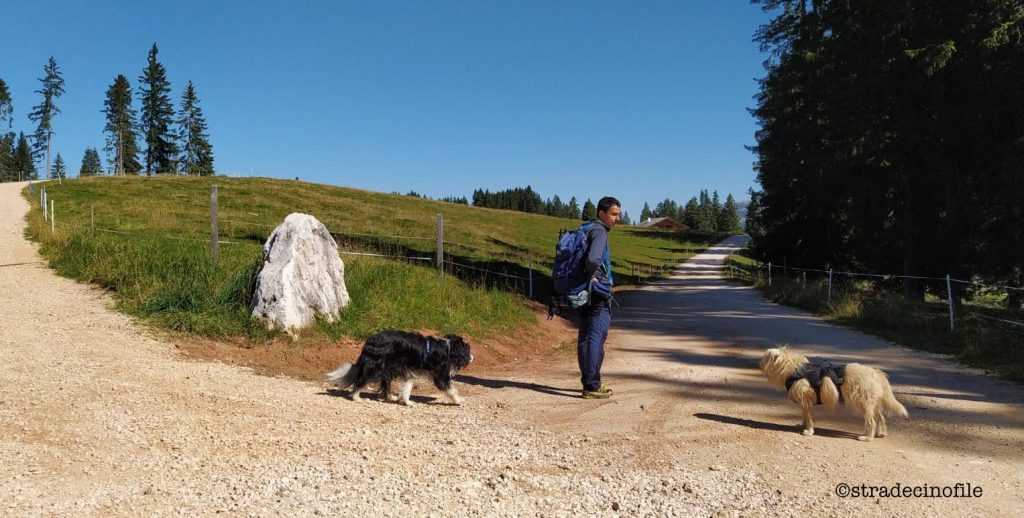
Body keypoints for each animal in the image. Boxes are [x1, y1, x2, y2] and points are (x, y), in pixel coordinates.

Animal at [325, 331, 473, 405]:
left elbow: (407, 386)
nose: (473, 357)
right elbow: (451, 388)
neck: (446, 348)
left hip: (387, 367)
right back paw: (357, 398)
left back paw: (391, 397)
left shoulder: (410, 372)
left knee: (385, 383)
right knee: (361, 381)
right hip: (375, 366)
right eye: (467, 351)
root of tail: (369, 342)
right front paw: (458, 400)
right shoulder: (440, 374)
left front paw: (407, 401)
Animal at [757, 346, 909, 438]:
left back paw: (866, 437)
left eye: (764, 358)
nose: (758, 363)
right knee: (881, 418)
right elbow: (805, 417)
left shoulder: (806, 401)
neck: (794, 370)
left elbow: (809, 418)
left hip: (862, 403)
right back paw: (880, 434)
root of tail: (876, 374)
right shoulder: (804, 404)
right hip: (873, 404)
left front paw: (809, 431)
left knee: (872, 421)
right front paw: (803, 426)